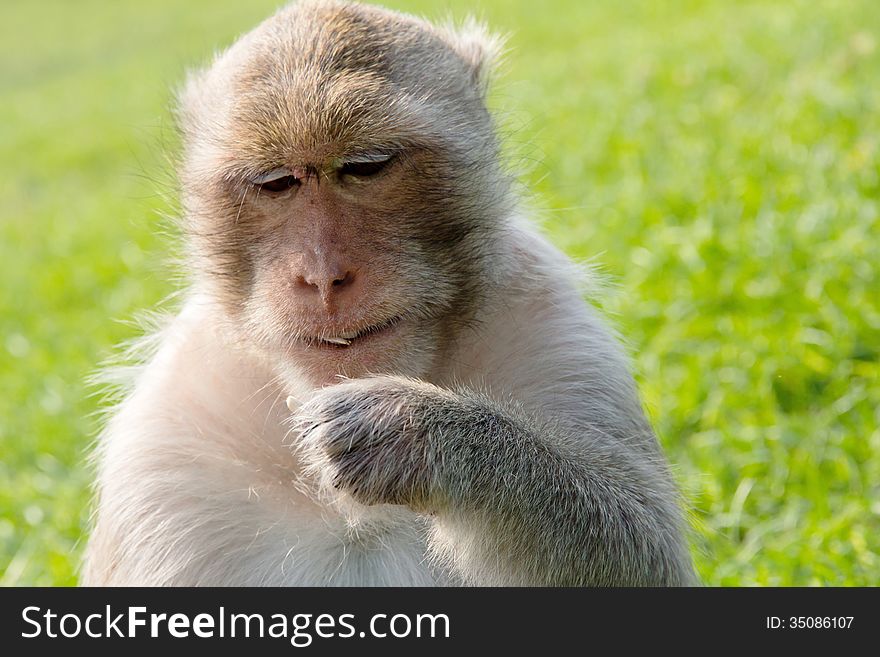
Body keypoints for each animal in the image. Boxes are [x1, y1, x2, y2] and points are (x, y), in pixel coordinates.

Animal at [81, 0, 696, 584]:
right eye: (276, 182)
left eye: (365, 167)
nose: (323, 275)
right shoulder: (165, 446)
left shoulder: (559, 335)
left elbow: (646, 552)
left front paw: (416, 431)